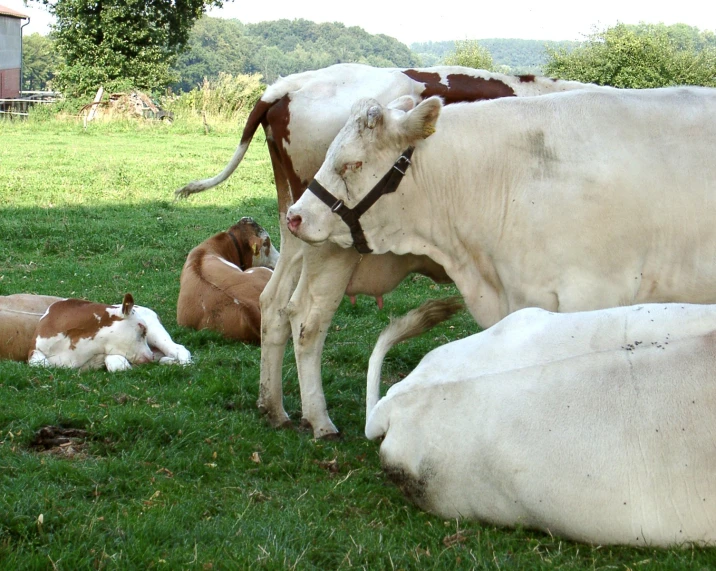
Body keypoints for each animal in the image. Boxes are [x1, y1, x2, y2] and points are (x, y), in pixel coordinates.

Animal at [0, 292, 192, 374]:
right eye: (141, 329)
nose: (149, 356)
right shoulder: (34, 349)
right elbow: (41, 364)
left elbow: (118, 365)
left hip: (158, 335)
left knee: (179, 348)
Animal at [175, 62, 592, 438]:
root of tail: (291, 83)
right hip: (329, 247)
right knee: (306, 320)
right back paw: (320, 421)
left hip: (293, 229)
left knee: (274, 303)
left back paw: (274, 408)